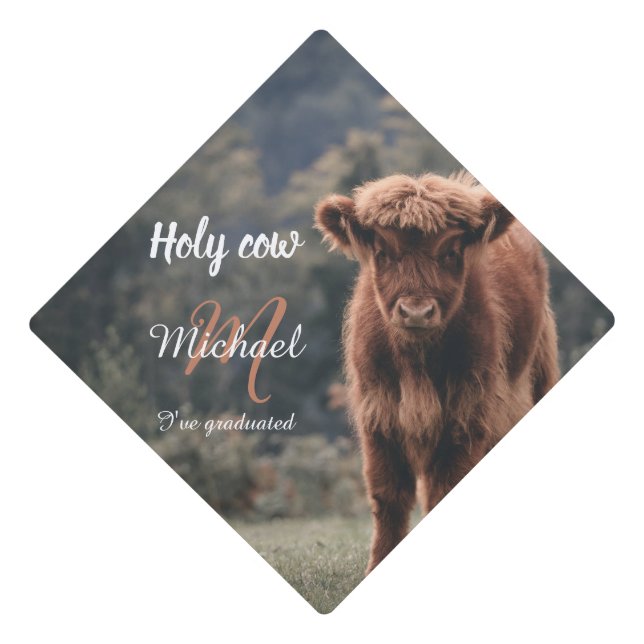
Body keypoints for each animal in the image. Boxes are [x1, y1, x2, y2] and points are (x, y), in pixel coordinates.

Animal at [314, 171, 559, 573]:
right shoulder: (378, 414)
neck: (417, 364)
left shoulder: (467, 412)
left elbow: (445, 489)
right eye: (383, 253)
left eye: (450, 252)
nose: (416, 311)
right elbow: (389, 496)